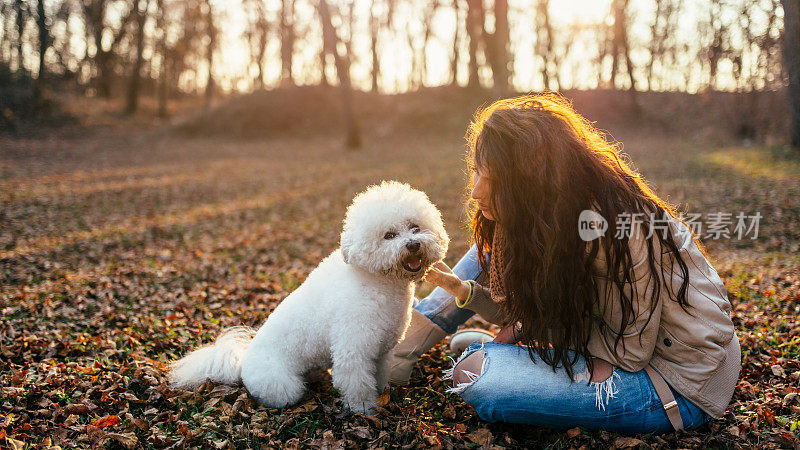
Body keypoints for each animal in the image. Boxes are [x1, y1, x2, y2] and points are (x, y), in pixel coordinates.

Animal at [167, 181, 450, 414]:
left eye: (415, 227)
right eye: (389, 235)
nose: (413, 244)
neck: (376, 278)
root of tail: (242, 363)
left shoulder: (381, 351)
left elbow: (378, 376)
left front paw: (381, 396)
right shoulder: (353, 350)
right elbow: (358, 385)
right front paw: (365, 410)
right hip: (283, 385)